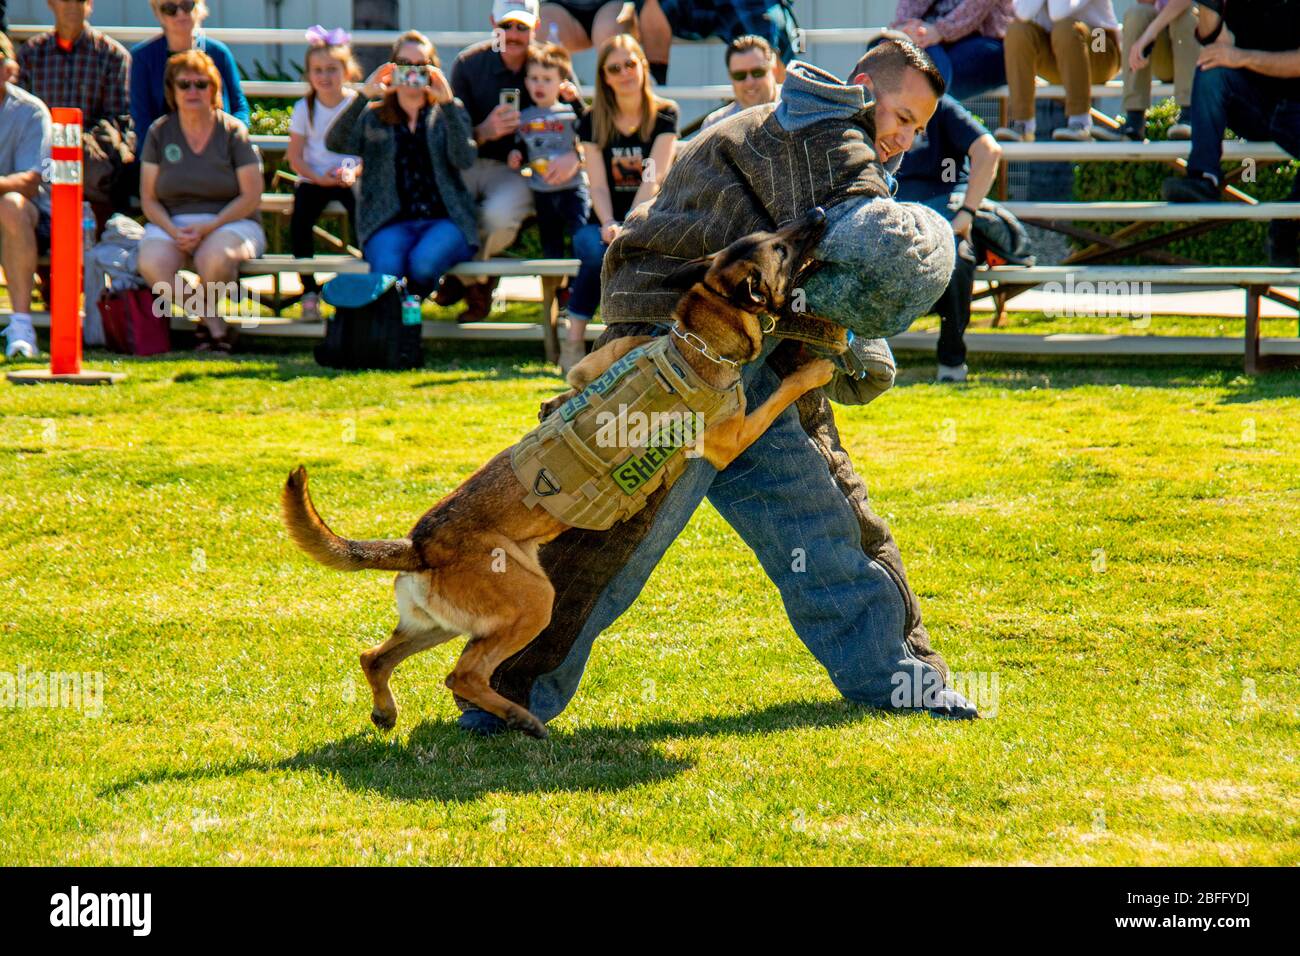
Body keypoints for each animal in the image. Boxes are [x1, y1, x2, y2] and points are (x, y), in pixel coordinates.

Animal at [280, 209, 837, 738]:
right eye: (781, 248)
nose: (817, 212)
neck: (697, 339)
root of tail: (419, 544)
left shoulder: (589, 369)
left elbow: (587, 370)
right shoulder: (730, 438)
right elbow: (778, 395)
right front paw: (812, 371)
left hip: (440, 622)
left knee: (374, 657)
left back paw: (386, 711)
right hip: (532, 602)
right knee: (461, 675)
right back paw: (519, 718)